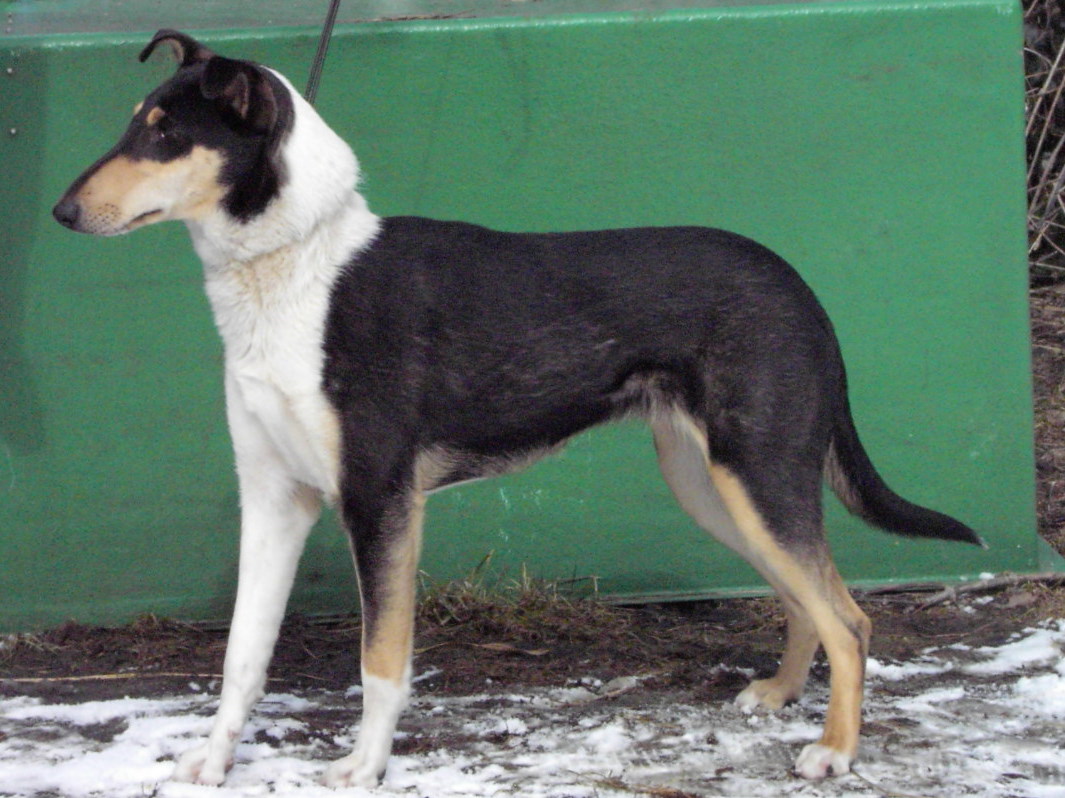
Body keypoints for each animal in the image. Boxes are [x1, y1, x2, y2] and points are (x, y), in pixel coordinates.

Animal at [51, 27, 979, 788]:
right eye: (136, 123)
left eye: (164, 132)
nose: (62, 211)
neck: (293, 270)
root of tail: (800, 288)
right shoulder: (275, 499)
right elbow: (242, 656)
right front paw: (211, 764)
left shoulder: (379, 503)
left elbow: (380, 659)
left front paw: (362, 767)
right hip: (715, 487)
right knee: (805, 599)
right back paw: (781, 694)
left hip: (757, 477)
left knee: (849, 618)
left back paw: (835, 750)